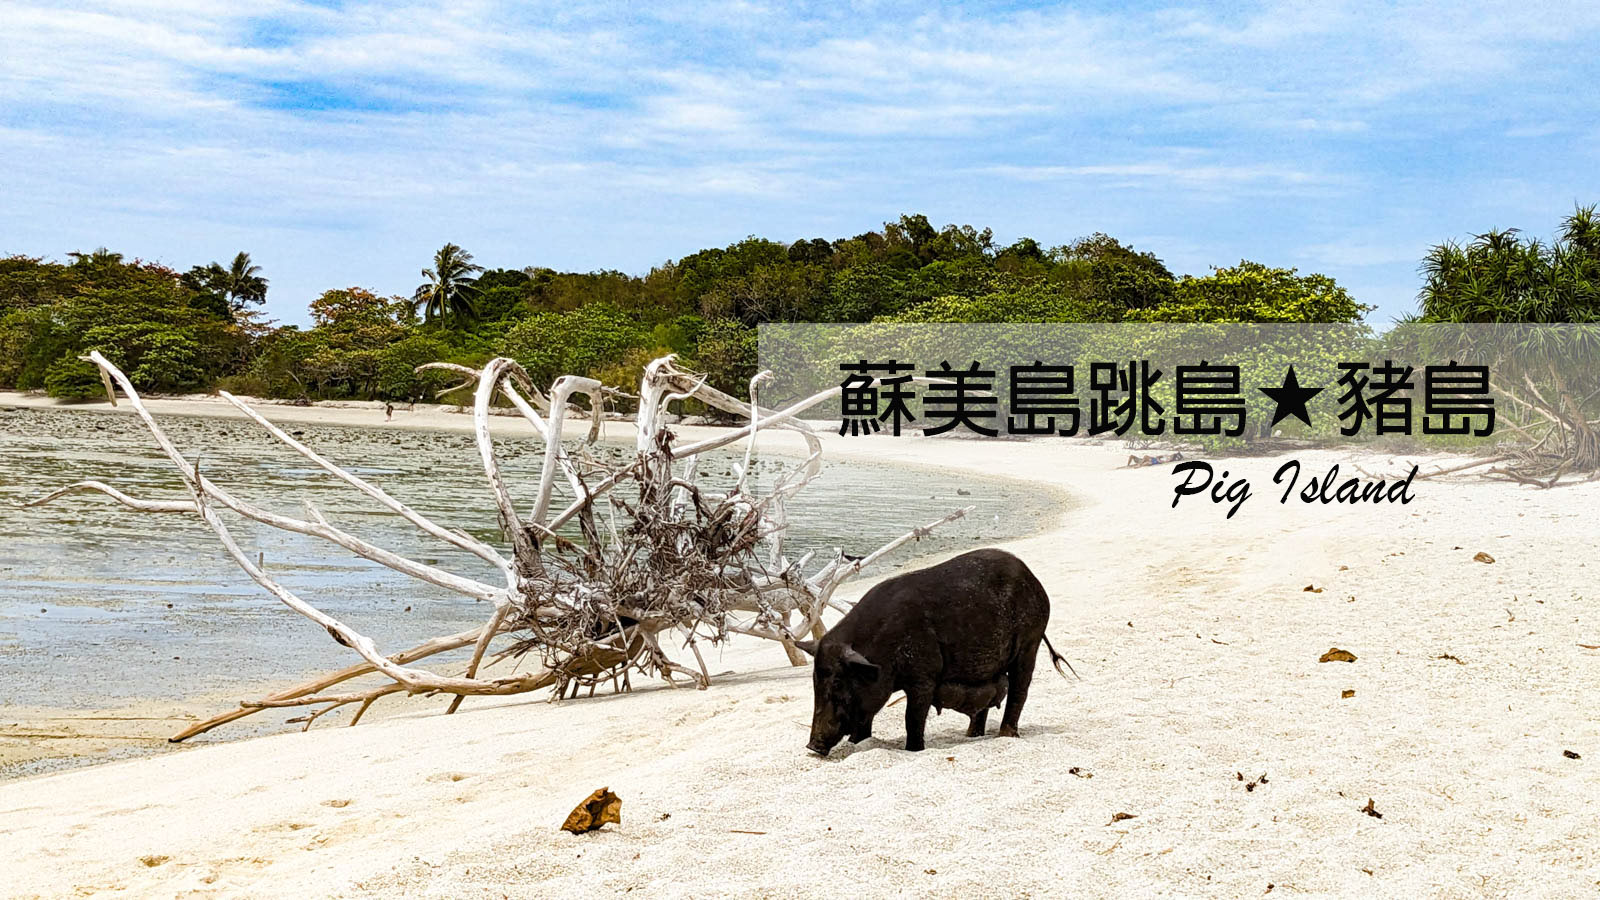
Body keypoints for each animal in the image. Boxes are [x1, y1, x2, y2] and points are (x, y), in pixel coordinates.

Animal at [794, 548, 1073, 755]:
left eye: (838, 682)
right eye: (815, 682)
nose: (812, 745)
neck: (881, 650)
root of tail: (1035, 582)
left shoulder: (924, 677)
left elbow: (913, 717)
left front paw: (913, 750)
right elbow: (866, 719)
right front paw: (858, 744)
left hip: (1030, 641)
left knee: (1019, 690)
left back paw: (1007, 735)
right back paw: (971, 736)